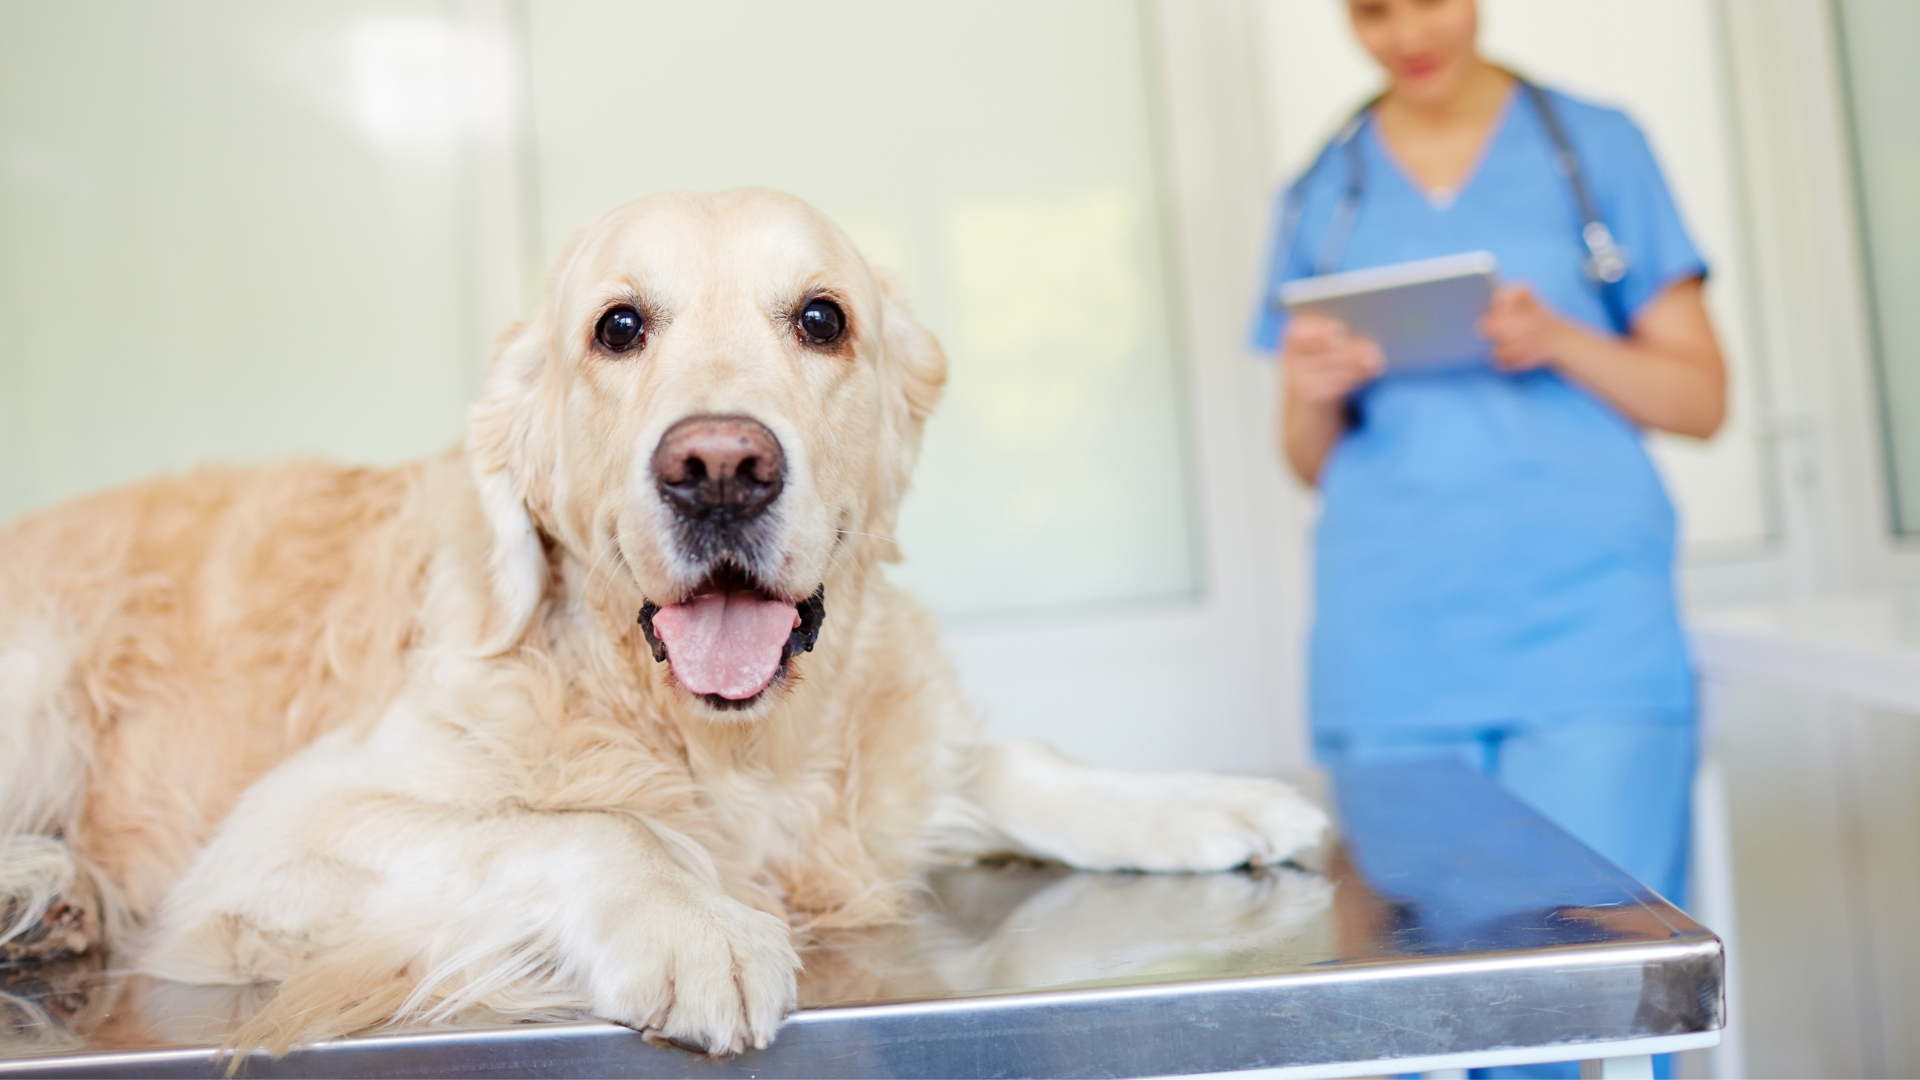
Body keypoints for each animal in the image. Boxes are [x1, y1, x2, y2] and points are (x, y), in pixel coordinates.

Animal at [0, 184, 1320, 1053]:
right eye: (619, 327)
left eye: (822, 318)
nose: (719, 468)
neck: (729, 744)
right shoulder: (274, 845)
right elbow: (587, 829)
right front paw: (696, 926)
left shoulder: (883, 768)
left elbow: (1017, 764)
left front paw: (1206, 801)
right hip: (44, 663)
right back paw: (41, 885)